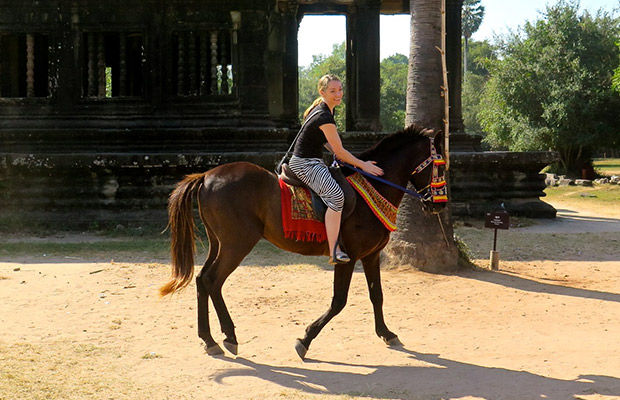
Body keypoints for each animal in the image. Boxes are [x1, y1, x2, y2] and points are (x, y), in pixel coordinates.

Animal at [160, 124, 448, 360]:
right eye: (441, 165)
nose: (438, 205)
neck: (373, 187)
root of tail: (206, 176)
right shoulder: (347, 257)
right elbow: (339, 301)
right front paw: (305, 339)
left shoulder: (370, 255)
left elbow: (376, 295)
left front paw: (387, 333)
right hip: (236, 244)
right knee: (212, 281)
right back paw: (228, 336)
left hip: (218, 242)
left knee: (202, 280)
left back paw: (209, 339)